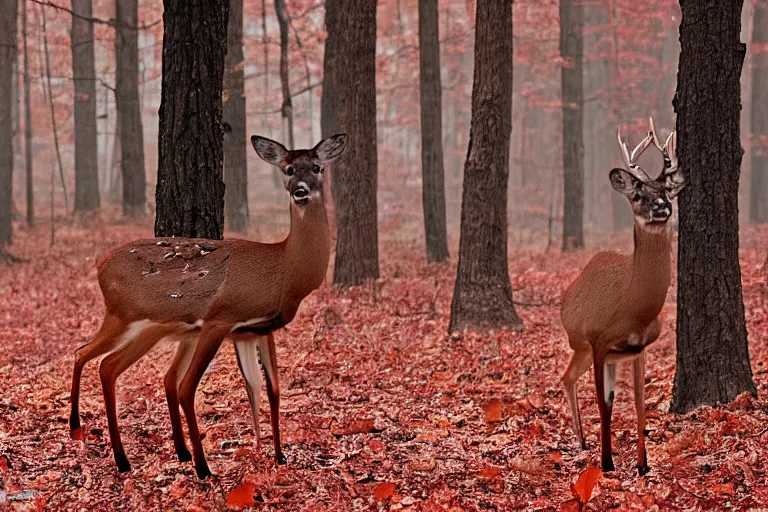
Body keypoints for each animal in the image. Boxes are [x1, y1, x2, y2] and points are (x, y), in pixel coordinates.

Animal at [69, 134, 344, 478]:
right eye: (289, 168)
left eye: (318, 167)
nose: (300, 191)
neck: (285, 273)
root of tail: (100, 265)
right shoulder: (222, 319)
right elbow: (196, 387)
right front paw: (215, 464)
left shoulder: (256, 330)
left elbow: (268, 389)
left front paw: (276, 455)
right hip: (123, 315)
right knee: (100, 359)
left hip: (151, 329)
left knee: (106, 364)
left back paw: (134, 453)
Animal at [560, 118, 684, 474]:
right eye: (638, 194)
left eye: (667, 190)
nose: (661, 207)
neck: (631, 308)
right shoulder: (600, 342)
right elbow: (603, 404)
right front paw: (607, 464)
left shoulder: (639, 348)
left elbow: (640, 405)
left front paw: (643, 465)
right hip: (583, 343)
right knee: (570, 379)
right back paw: (583, 442)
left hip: (592, 352)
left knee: (569, 378)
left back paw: (583, 440)